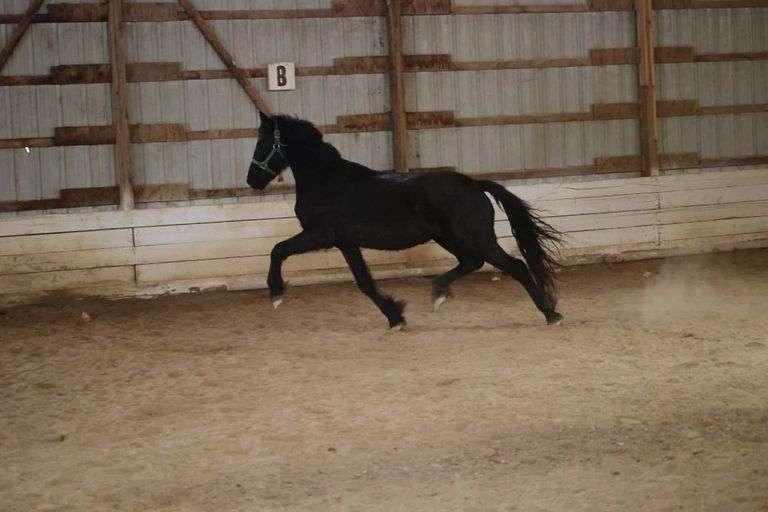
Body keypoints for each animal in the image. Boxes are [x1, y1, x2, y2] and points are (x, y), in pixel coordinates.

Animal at [247, 112, 564, 330]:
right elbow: (364, 282)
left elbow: (278, 250)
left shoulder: (321, 235)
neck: (326, 181)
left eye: (263, 141)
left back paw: (551, 314)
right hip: (449, 238)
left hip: (476, 238)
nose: (252, 180)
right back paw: (439, 292)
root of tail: (474, 184)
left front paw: (276, 293)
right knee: (472, 262)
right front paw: (395, 317)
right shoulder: (346, 243)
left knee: (515, 266)